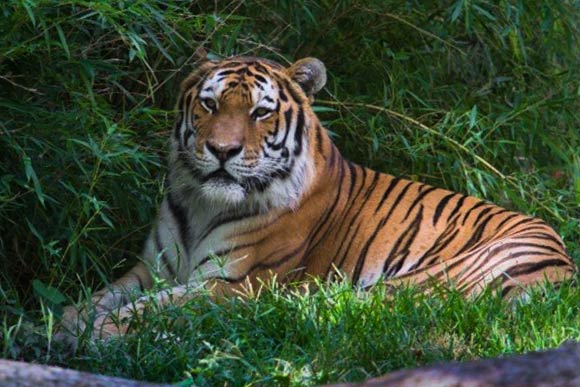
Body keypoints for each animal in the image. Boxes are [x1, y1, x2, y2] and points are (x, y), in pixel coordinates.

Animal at [59, 53, 576, 340]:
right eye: (209, 104)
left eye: (260, 112)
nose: (222, 151)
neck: (203, 204)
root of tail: (565, 267)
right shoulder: (149, 270)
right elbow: (92, 299)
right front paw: (57, 323)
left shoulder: (234, 283)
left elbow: (150, 311)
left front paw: (93, 335)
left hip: (428, 280)